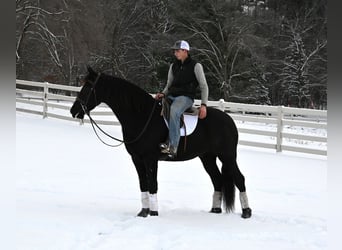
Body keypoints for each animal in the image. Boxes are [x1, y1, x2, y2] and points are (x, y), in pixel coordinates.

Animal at [70, 66, 251, 219]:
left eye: (88, 88)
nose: (73, 111)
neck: (141, 116)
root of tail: (229, 120)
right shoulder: (137, 159)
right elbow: (143, 184)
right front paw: (143, 212)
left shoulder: (150, 159)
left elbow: (153, 184)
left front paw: (154, 213)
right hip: (207, 157)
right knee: (217, 180)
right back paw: (215, 210)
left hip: (227, 156)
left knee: (239, 179)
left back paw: (246, 212)